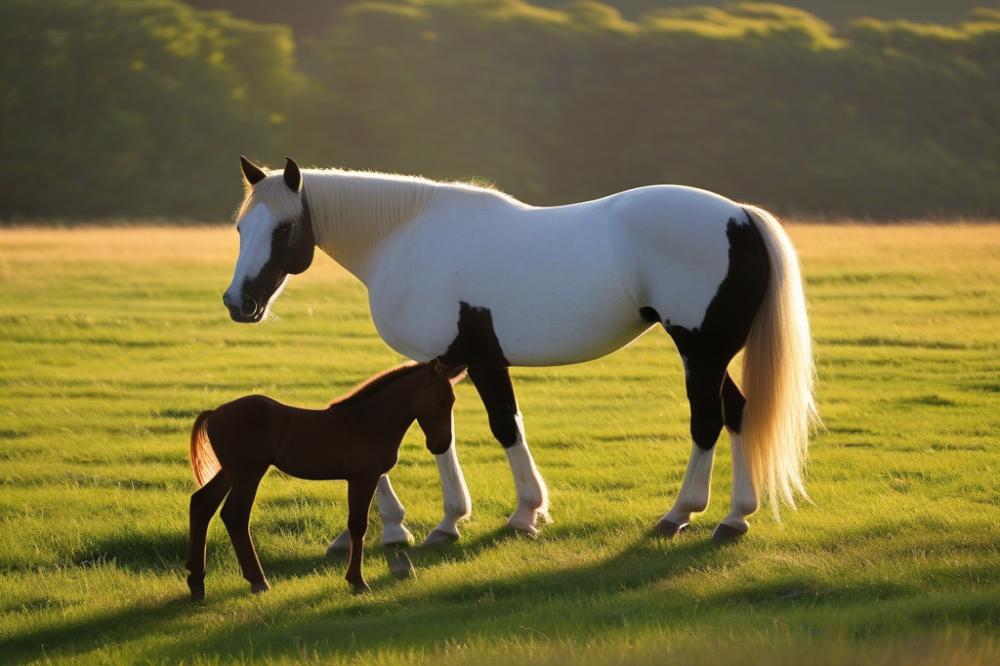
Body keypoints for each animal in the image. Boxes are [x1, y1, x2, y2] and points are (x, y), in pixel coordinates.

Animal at [184, 359, 466, 598]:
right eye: (442, 401)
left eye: (452, 400)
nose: (440, 444)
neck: (367, 421)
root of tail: (215, 413)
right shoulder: (363, 478)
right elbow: (358, 526)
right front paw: (357, 581)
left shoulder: (364, 479)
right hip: (248, 474)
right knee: (235, 515)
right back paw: (258, 581)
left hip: (230, 473)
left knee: (202, 504)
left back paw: (197, 583)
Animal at [224, 156, 817, 548]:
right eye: (240, 226)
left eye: (284, 227)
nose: (238, 302)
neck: (406, 237)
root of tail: (740, 215)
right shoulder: (452, 366)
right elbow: (458, 432)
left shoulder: (470, 364)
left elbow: (488, 430)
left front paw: (502, 517)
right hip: (710, 353)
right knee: (738, 412)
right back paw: (735, 517)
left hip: (699, 349)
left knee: (708, 420)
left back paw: (679, 514)